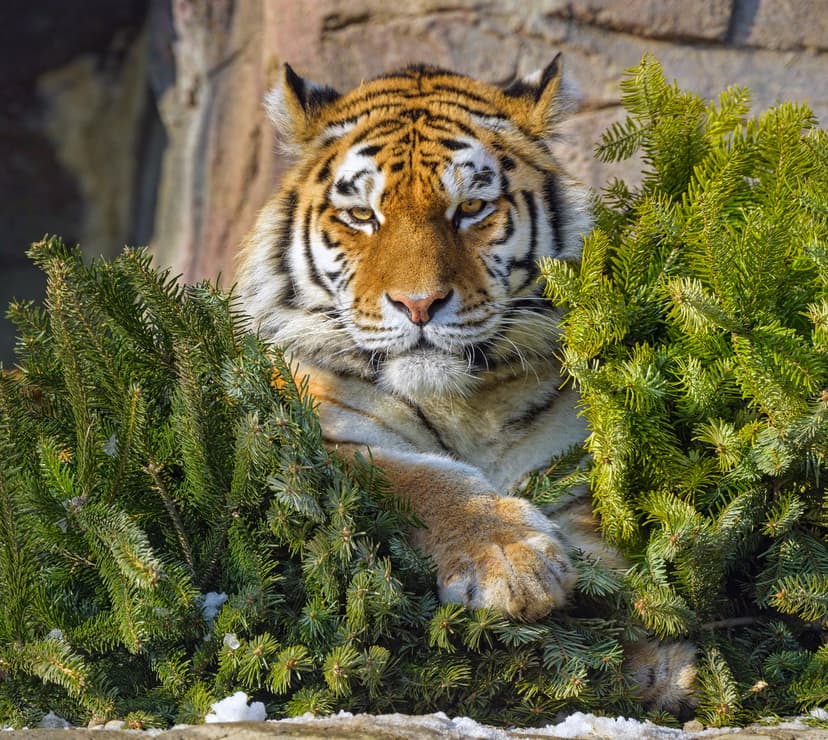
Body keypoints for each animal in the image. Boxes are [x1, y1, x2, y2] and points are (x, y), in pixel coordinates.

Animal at [236, 56, 696, 713]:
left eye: (472, 208)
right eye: (361, 216)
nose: (418, 304)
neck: (463, 404)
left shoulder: (569, 460)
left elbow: (601, 543)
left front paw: (656, 651)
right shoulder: (314, 436)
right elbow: (417, 479)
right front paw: (511, 561)